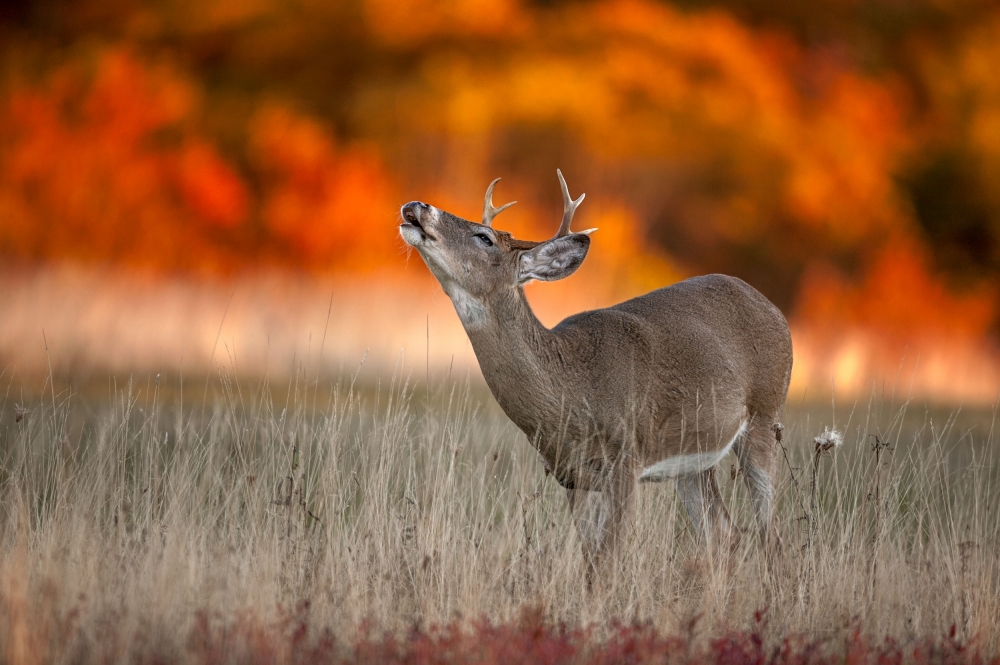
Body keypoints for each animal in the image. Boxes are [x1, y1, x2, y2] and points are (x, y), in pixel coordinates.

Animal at [396, 171, 788, 580]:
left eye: (484, 238)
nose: (417, 206)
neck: (572, 389)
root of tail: (772, 307)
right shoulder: (571, 476)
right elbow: (591, 564)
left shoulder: (627, 461)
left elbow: (606, 564)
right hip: (693, 459)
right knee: (725, 534)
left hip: (766, 414)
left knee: (770, 534)